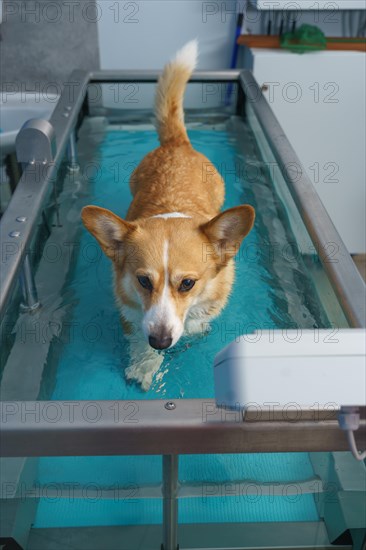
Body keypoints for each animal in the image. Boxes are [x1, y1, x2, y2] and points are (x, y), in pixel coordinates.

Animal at [82, 40, 254, 392]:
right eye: (143, 281)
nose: (160, 341)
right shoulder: (131, 312)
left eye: (187, 283)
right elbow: (138, 337)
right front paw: (146, 364)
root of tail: (177, 142)